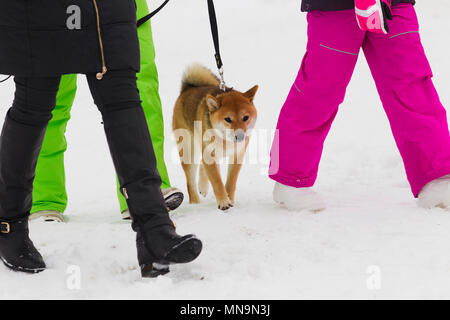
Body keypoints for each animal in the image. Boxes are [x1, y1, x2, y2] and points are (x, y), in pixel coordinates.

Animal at [172, 64, 258, 211]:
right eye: (228, 119)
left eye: (245, 117)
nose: (240, 136)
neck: (225, 140)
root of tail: (187, 89)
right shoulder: (209, 154)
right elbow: (217, 181)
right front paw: (224, 202)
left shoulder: (237, 155)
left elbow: (231, 181)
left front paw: (229, 198)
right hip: (189, 151)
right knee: (190, 182)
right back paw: (195, 203)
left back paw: (203, 186)